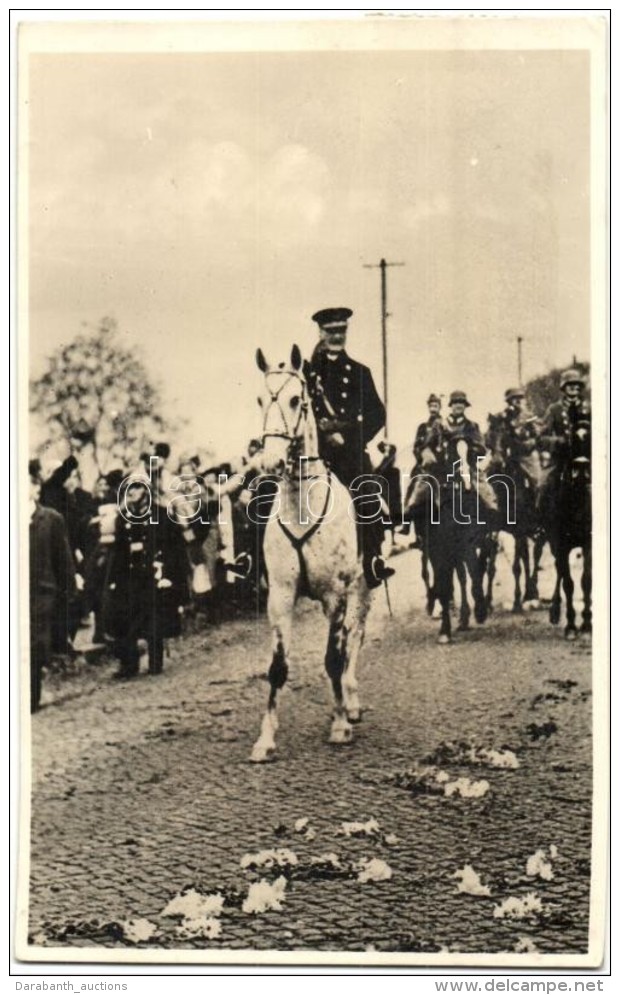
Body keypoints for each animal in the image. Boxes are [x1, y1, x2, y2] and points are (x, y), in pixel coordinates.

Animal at [248, 344, 372, 764]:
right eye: (259, 399)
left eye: (295, 399)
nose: (270, 462)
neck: (303, 504)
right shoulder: (281, 596)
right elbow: (277, 667)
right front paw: (266, 739)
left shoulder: (336, 593)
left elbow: (333, 658)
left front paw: (340, 725)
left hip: (360, 586)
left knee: (354, 637)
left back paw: (350, 701)